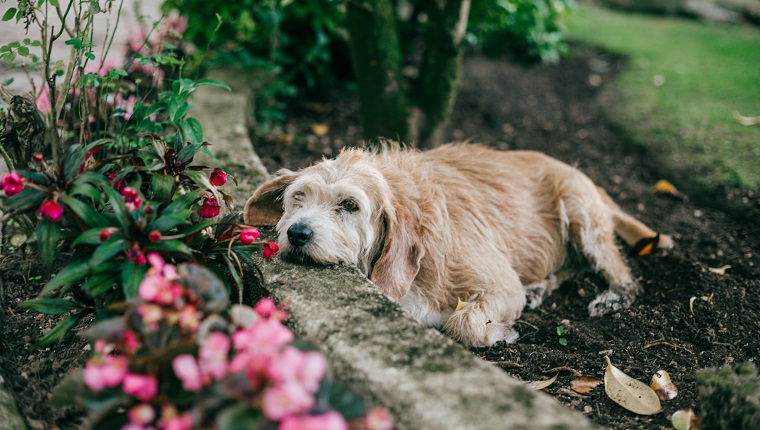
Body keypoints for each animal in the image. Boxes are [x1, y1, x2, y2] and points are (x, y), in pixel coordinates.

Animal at [243, 144, 672, 346]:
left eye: (350, 205)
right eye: (298, 197)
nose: (297, 233)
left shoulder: (500, 285)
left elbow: (462, 323)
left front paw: (501, 333)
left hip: (580, 211)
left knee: (620, 273)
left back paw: (614, 296)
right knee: (572, 267)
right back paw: (540, 288)